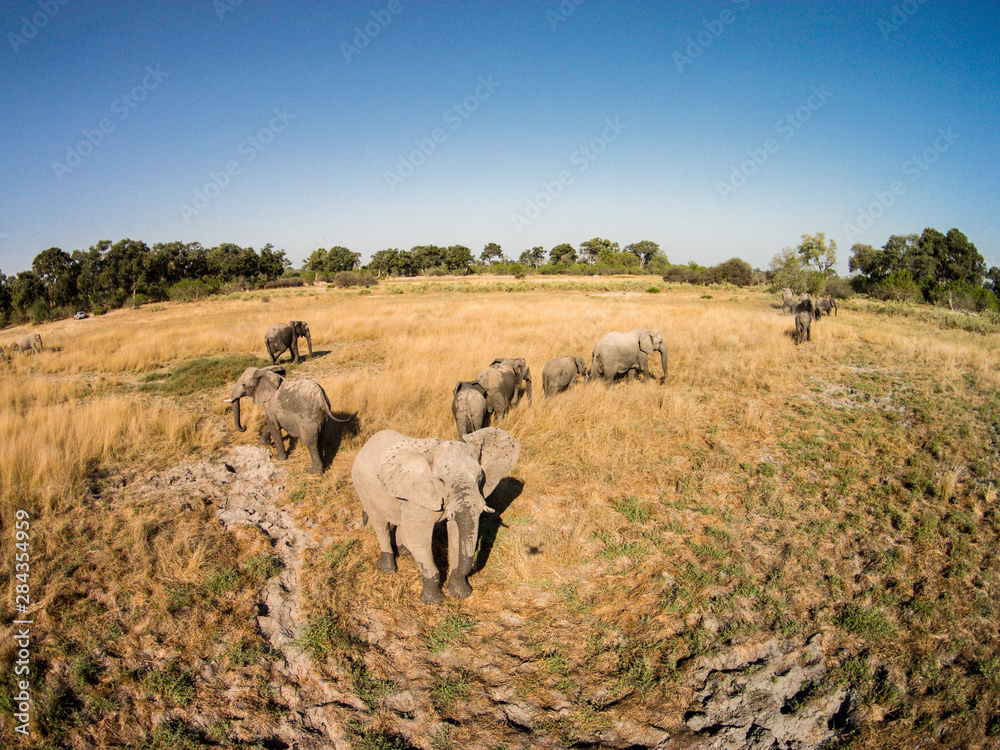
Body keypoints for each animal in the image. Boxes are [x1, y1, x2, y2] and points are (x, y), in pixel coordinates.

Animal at [352, 426, 520, 604]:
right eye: (441, 480)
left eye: (480, 478)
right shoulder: (419, 496)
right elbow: (419, 540)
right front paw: (433, 601)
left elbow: (456, 534)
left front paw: (460, 592)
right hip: (361, 485)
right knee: (380, 524)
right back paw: (387, 568)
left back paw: (404, 553)